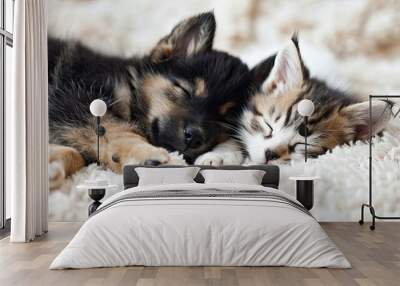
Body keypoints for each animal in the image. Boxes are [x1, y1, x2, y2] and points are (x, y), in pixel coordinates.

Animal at [49, 12, 250, 189]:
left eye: (225, 118)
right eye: (185, 90)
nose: (195, 137)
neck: (131, 86)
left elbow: (77, 153)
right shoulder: (77, 99)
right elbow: (114, 130)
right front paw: (152, 155)